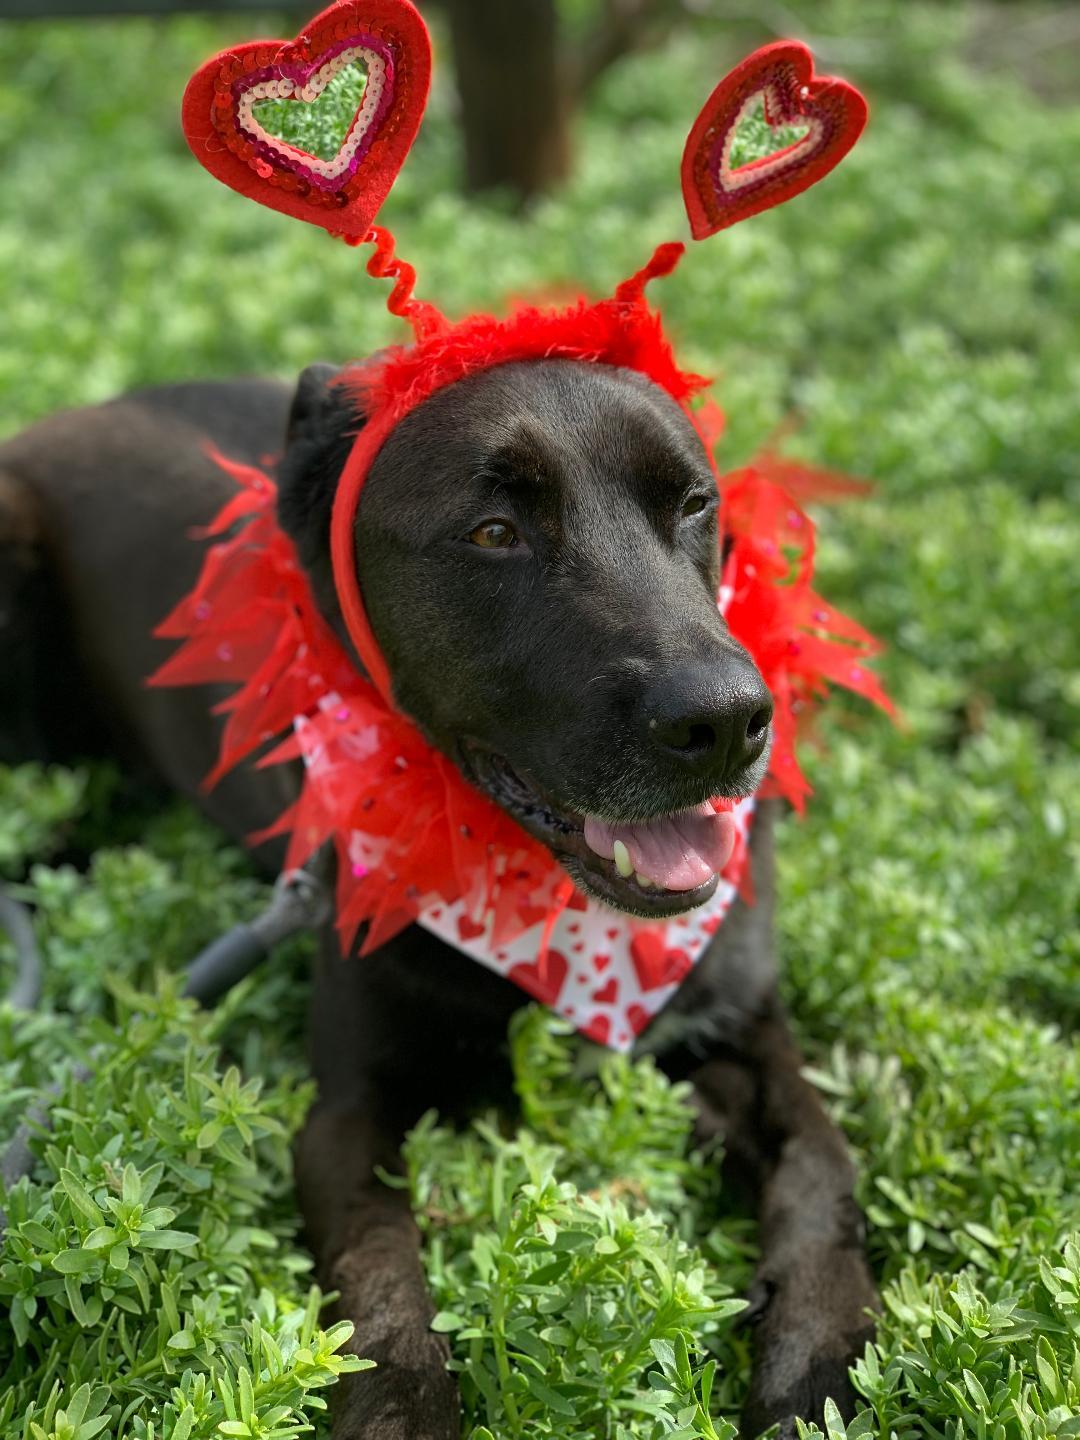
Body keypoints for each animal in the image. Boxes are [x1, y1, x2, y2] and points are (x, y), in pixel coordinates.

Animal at [0, 368, 881, 1440]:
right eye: (494, 532)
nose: (726, 722)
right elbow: (381, 1285)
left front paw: (815, 1366)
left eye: (694, 504)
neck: (557, 914)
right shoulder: (345, 1111)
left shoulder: (742, 1026)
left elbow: (822, 1169)